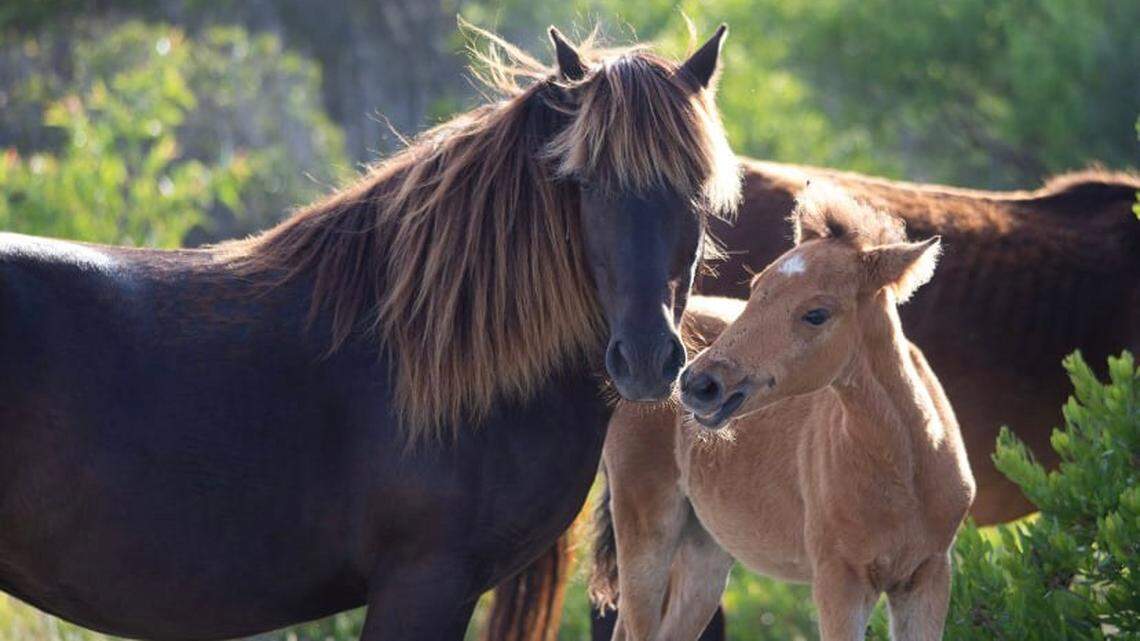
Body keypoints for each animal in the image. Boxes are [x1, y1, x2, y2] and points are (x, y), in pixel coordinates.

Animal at [595, 184, 974, 641]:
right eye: (758, 287)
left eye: (816, 314)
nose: (698, 384)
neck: (906, 471)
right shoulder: (838, 580)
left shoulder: (928, 577)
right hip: (645, 527)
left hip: (705, 550)